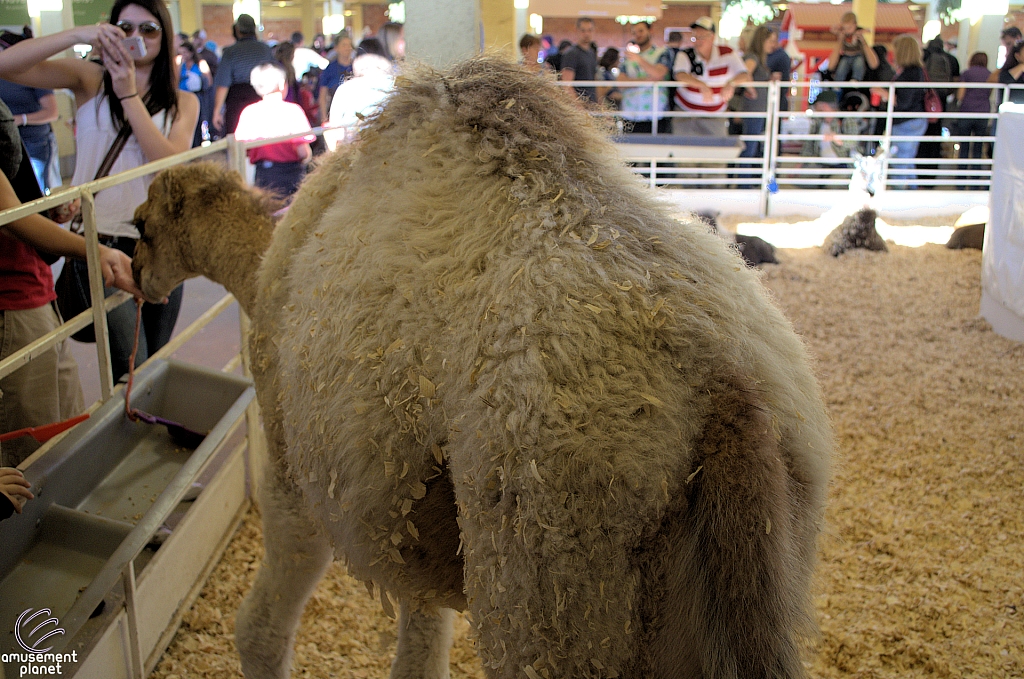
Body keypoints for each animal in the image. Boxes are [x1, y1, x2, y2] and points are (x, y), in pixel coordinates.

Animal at [130, 55, 831, 675]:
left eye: (139, 226)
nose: (134, 277)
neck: (263, 267)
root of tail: (729, 395)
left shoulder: (291, 467)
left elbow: (263, 630)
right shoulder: (402, 502)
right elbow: (422, 642)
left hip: (549, 560)